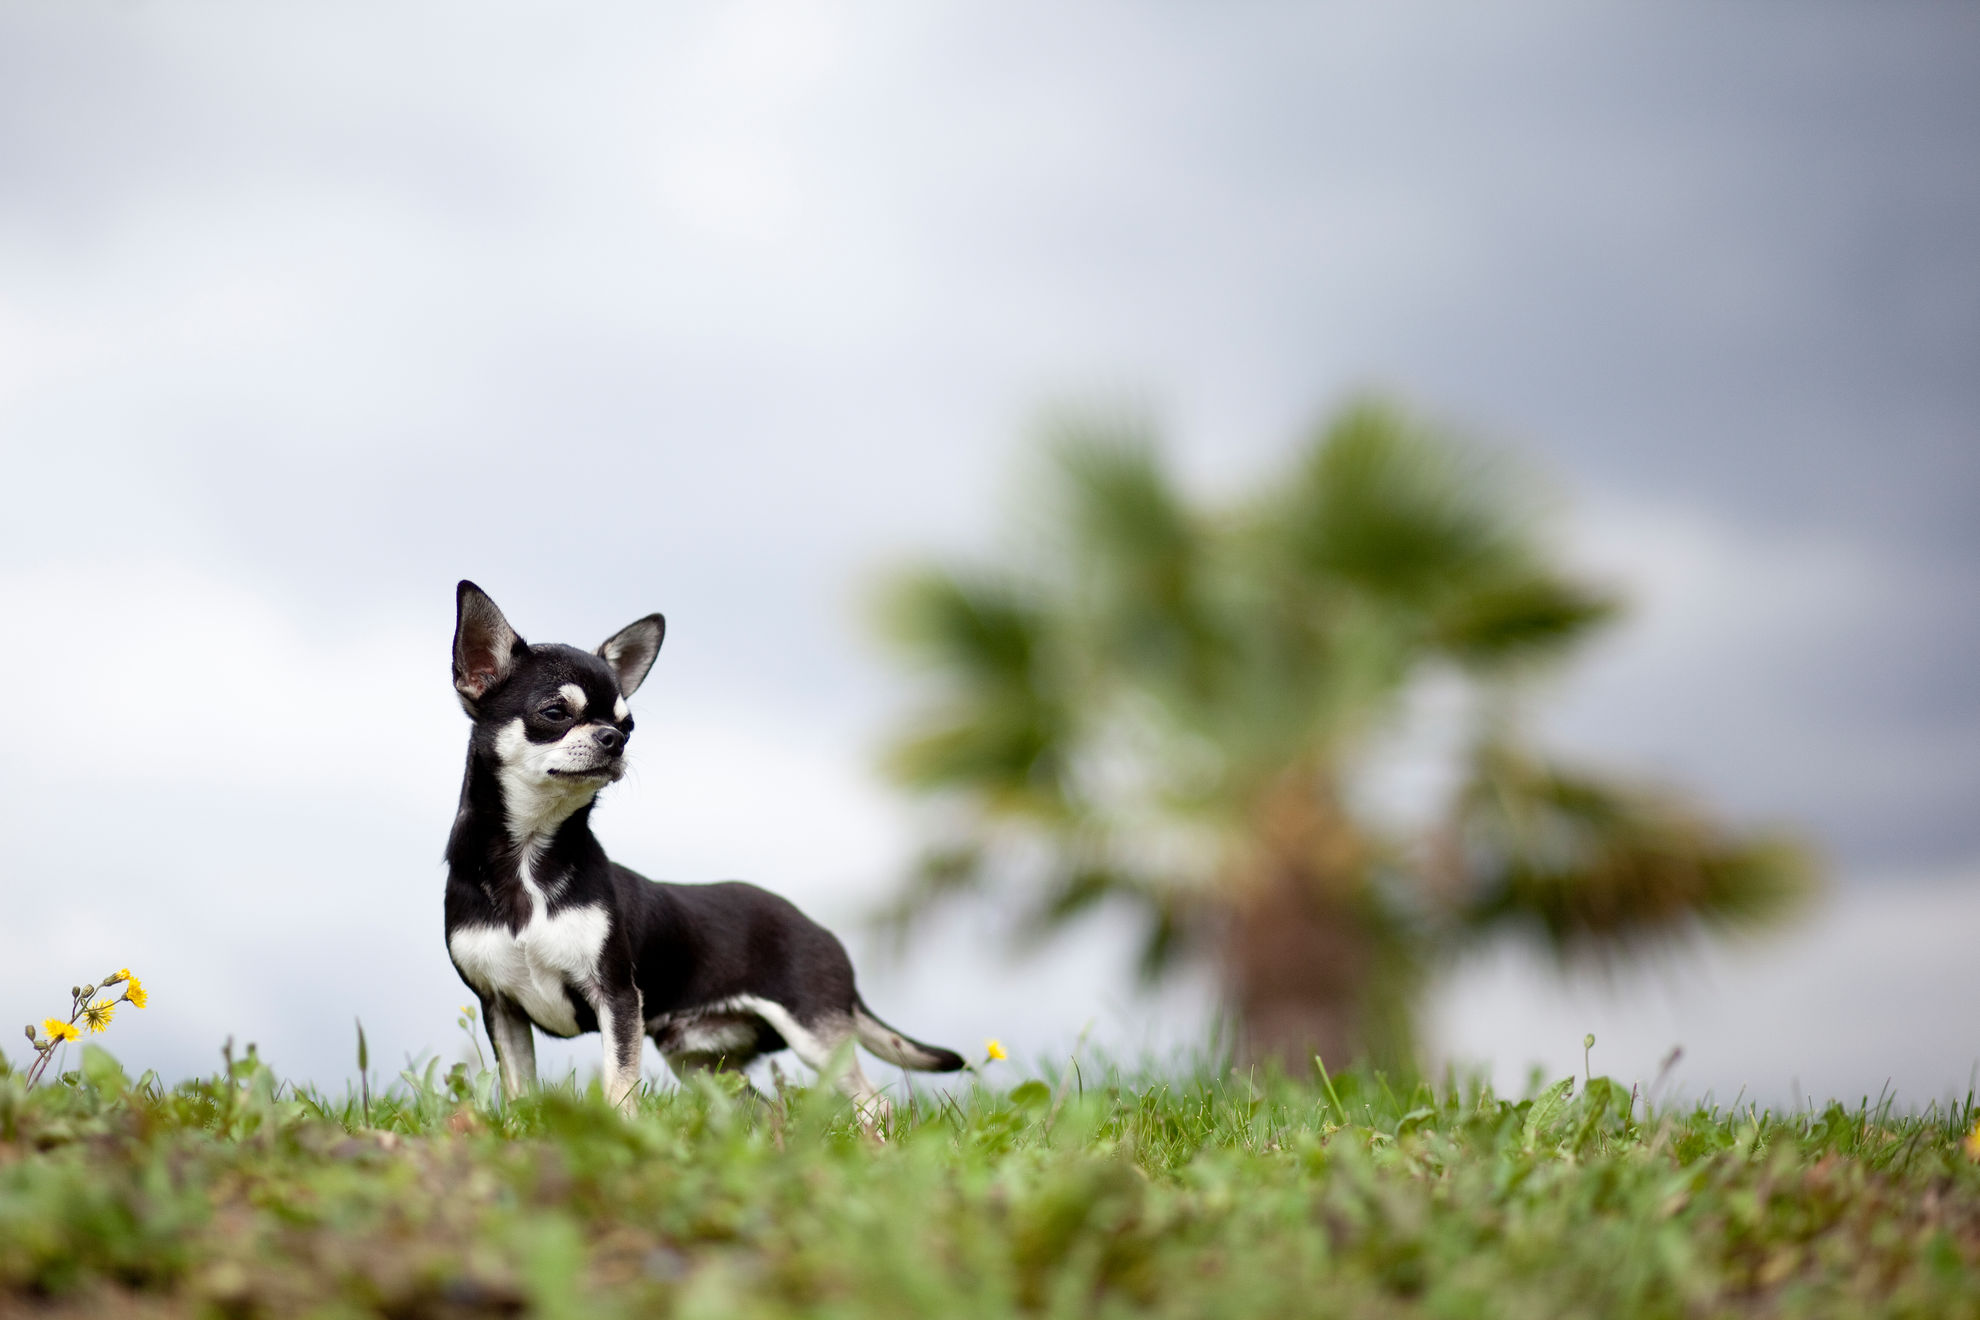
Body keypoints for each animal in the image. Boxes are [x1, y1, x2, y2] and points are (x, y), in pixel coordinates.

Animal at [443, 581, 966, 1124]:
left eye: (628, 726)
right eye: (554, 713)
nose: (613, 740)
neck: (530, 858)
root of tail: (820, 931)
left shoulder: (617, 999)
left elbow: (619, 1086)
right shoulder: (502, 1009)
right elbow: (519, 1094)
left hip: (814, 1036)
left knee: (875, 1104)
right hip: (702, 1063)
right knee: (767, 1110)